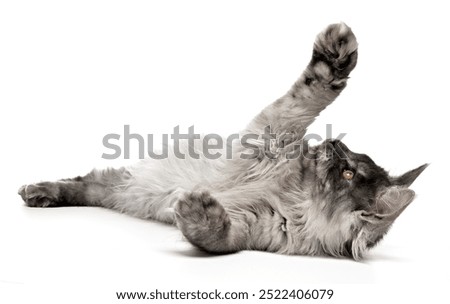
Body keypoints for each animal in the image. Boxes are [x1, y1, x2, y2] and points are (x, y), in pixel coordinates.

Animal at [16, 23, 426, 258]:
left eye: (348, 173)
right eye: (352, 158)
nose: (333, 144)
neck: (294, 195)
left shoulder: (254, 229)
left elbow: (217, 237)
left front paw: (198, 210)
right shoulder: (272, 132)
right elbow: (313, 91)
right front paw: (337, 51)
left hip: (119, 191)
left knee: (87, 185)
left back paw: (39, 194)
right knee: (78, 181)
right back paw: (36, 191)